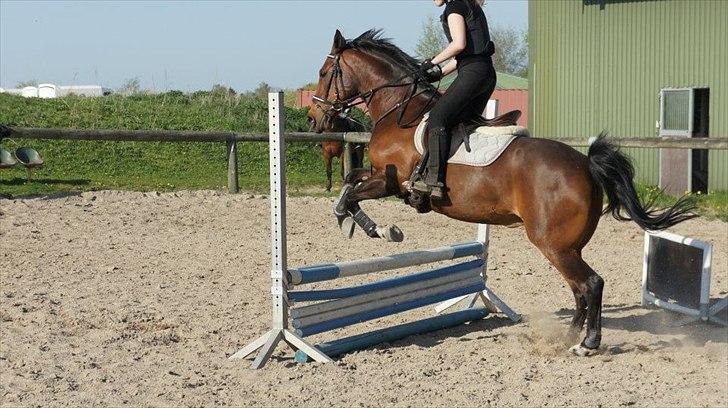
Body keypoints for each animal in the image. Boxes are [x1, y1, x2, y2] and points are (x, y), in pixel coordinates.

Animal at [308, 30, 692, 356]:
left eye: (325, 72)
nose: (314, 119)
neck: (399, 109)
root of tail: (586, 165)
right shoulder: (377, 176)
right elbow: (350, 180)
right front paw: (358, 222)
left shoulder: (391, 182)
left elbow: (354, 194)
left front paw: (374, 228)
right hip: (567, 245)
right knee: (579, 289)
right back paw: (566, 338)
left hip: (552, 243)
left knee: (591, 284)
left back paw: (586, 344)